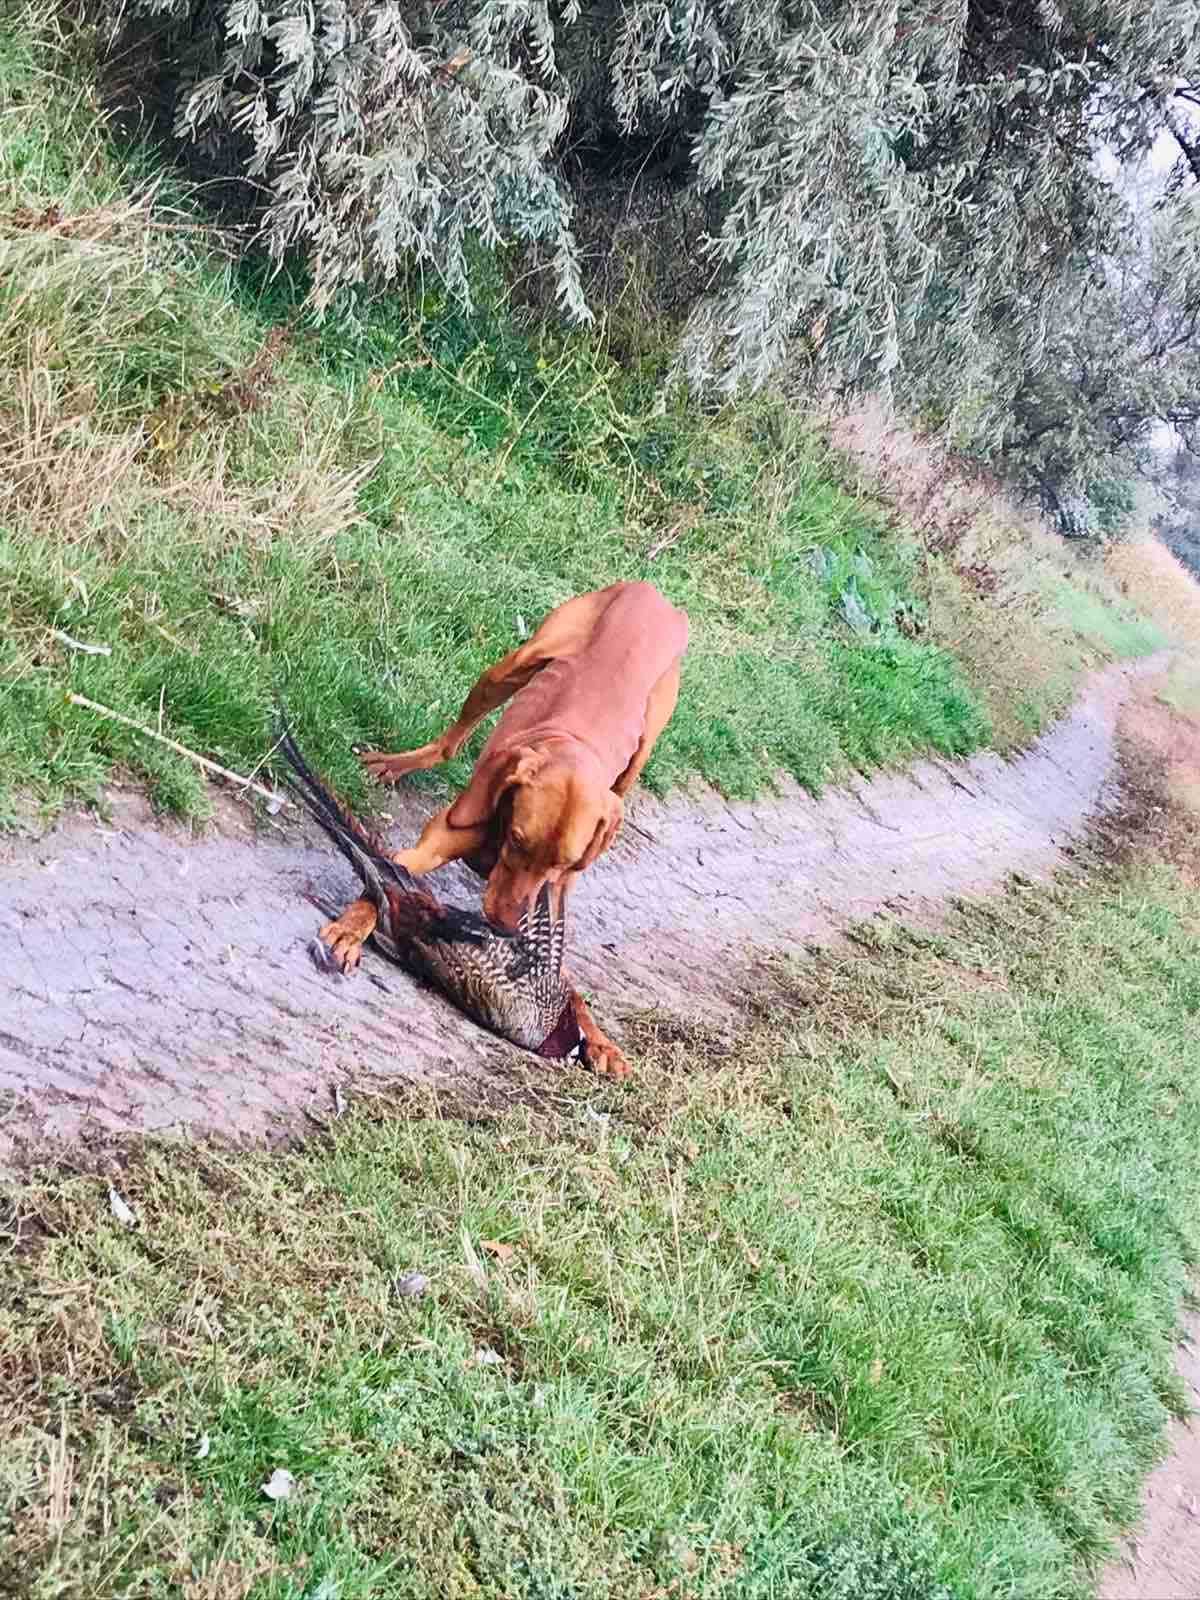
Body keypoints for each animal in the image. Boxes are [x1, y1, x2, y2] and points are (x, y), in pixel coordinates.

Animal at [320, 582, 691, 1081]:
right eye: (518, 839)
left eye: (564, 863)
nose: (502, 925)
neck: (574, 747)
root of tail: (652, 594)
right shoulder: (435, 845)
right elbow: (381, 879)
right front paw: (350, 927)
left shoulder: (551, 903)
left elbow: (567, 980)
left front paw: (599, 1040)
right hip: (513, 665)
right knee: (452, 740)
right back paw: (399, 763)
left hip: (643, 746)